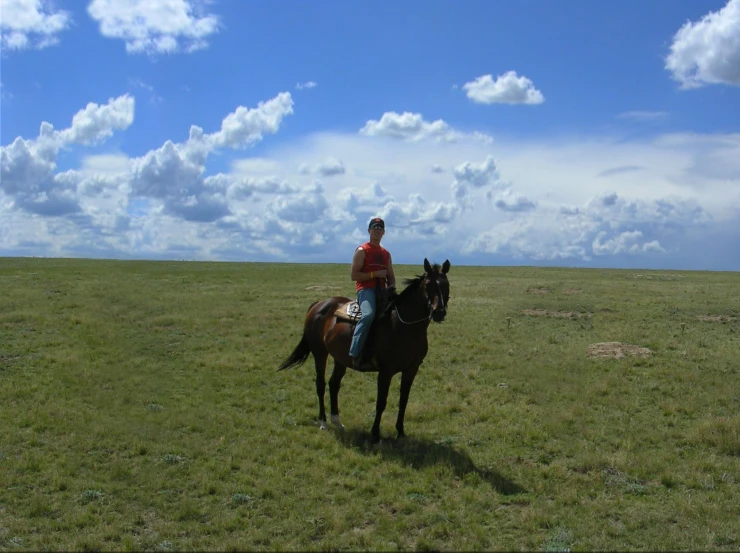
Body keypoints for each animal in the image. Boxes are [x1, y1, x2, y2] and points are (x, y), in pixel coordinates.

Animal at [278, 256, 450, 442]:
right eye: (428, 285)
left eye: (446, 285)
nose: (439, 312)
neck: (404, 326)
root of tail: (319, 304)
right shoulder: (386, 371)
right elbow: (381, 402)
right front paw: (375, 434)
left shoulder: (411, 369)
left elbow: (403, 400)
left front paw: (400, 431)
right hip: (320, 353)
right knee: (321, 384)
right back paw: (323, 422)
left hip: (340, 357)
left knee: (334, 384)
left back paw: (337, 421)